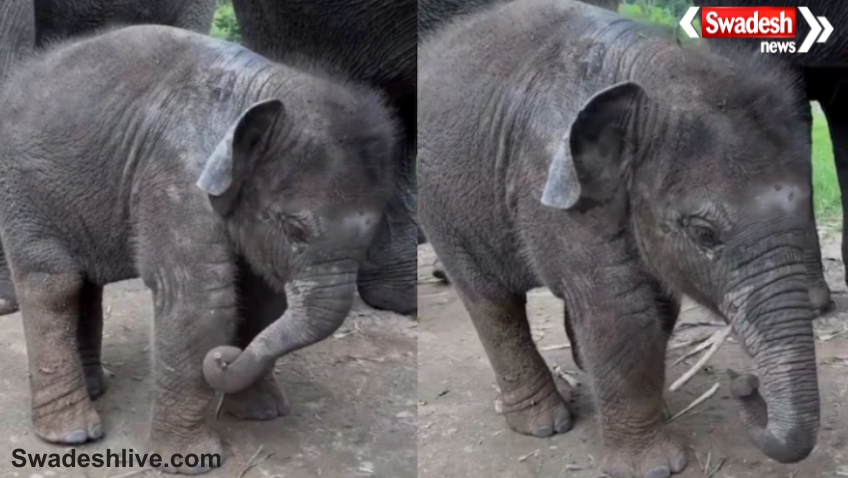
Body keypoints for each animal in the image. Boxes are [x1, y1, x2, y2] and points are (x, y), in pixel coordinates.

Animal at [0, 24, 397, 474]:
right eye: (295, 229)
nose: (224, 358)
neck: (263, 89)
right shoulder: (176, 175)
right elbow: (197, 297)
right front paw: (190, 462)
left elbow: (262, 295)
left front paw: (261, 413)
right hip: (23, 190)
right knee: (55, 285)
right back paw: (71, 435)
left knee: (84, 283)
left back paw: (94, 392)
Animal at [418, 1, 820, 477]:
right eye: (704, 234)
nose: (744, 382)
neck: (650, 73)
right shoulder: (550, 182)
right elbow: (621, 308)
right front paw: (655, 467)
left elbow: (659, 303)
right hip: (442, 205)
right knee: (490, 298)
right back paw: (543, 424)